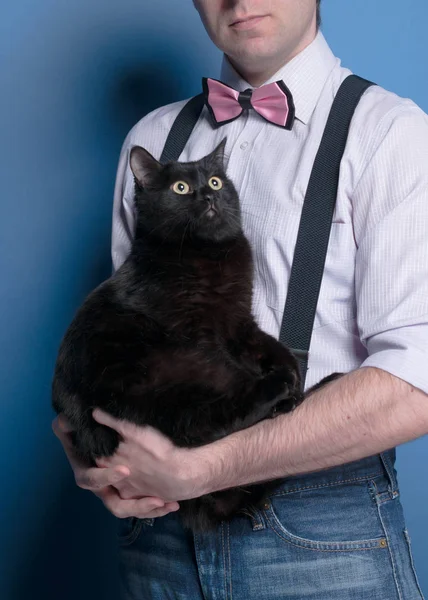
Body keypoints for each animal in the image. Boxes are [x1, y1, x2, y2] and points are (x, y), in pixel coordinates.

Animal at [52, 139, 342, 528]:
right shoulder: (198, 335)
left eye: (217, 181)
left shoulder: (238, 321)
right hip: (175, 367)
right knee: (201, 426)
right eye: (181, 188)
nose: (208, 195)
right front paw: (286, 381)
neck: (207, 254)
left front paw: (292, 369)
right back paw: (281, 393)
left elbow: (269, 344)